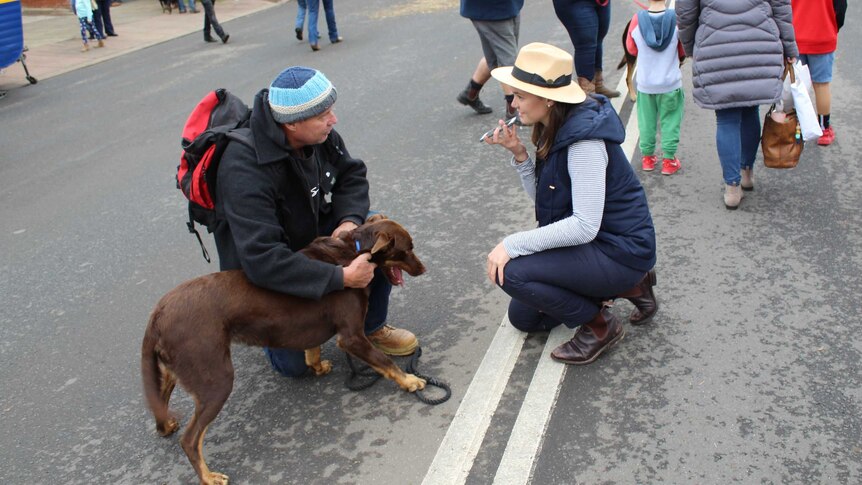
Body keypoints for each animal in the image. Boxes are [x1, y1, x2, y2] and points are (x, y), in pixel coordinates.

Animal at [142, 216, 428, 484]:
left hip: (175, 368)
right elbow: (384, 362)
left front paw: (318, 366)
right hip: (215, 379)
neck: (354, 250)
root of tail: (157, 315)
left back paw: (166, 425)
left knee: (161, 399)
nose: (424, 269)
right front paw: (410, 380)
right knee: (190, 440)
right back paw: (208, 477)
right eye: (408, 248)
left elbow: (312, 350)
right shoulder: (352, 338)